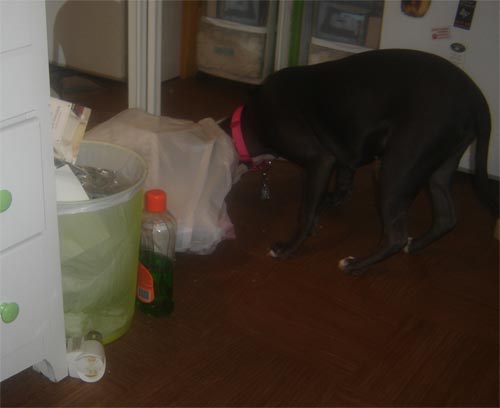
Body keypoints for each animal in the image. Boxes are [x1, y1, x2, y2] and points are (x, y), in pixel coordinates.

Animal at [222, 49, 496, 276]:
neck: (246, 123)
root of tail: (476, 98)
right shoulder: (344, 156)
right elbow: (339, 187)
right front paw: (324, 206)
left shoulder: (320, 159)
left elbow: (306, 211)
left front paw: (289, 248)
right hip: (439, 168)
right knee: (445, 218)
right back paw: (415, 245)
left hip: (395, 170)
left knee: (396, 237)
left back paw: (356, 265)